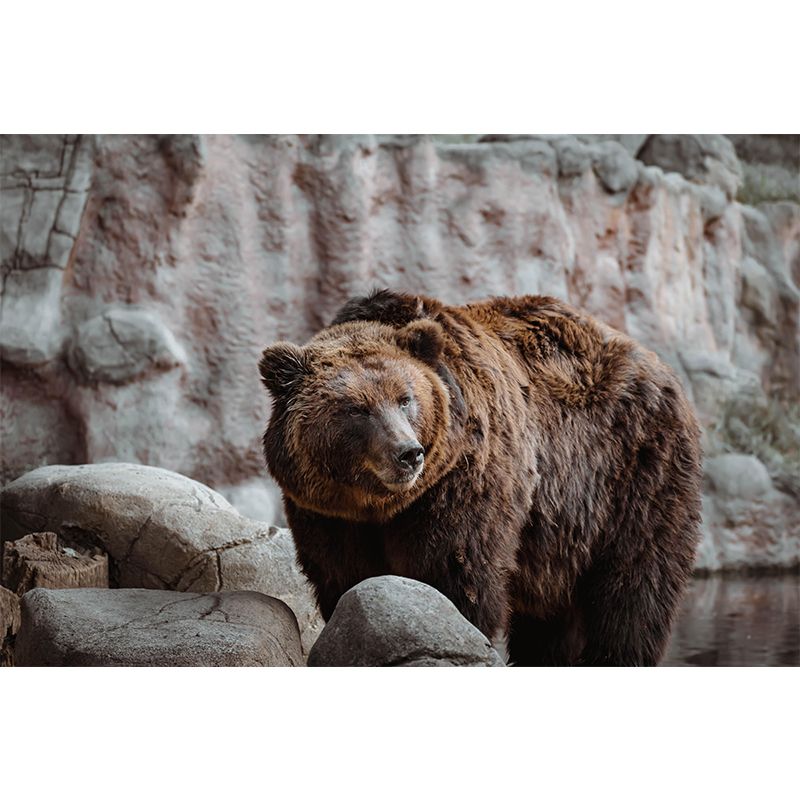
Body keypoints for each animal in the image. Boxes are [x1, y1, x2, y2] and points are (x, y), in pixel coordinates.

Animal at [259, 290, 703, 666]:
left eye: (406, 399)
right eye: (356, 409)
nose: (408, 453)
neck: (379, 504)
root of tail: (660, 366)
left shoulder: (462, 481)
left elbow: (456, 571)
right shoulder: (327, 513)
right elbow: (343, 576)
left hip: (632, 474)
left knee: (634, 588)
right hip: (562, 536)